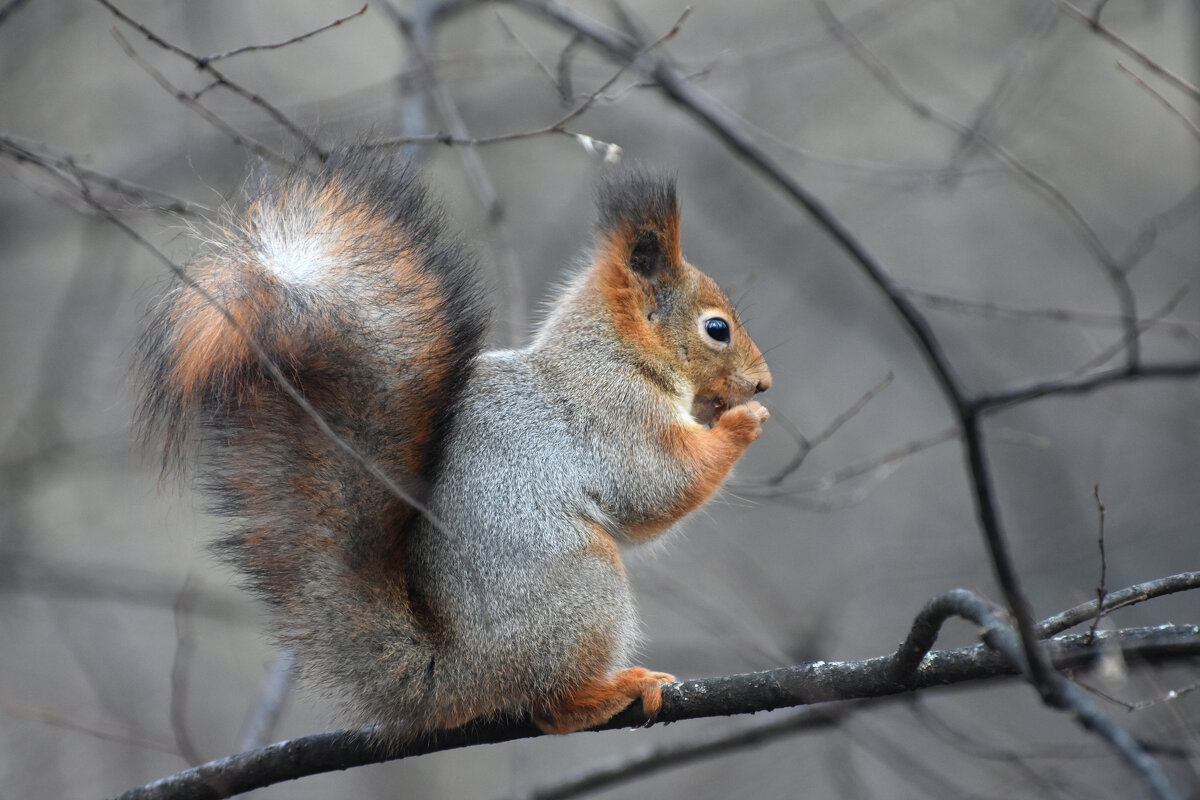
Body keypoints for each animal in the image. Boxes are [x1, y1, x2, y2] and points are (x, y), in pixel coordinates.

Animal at [136, 148, 772, 738]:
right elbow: (657, 486)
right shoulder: (615, 416)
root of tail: (455, 675)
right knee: (551, 707)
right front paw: (743, 422)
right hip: (583, 587)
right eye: (717, 328)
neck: (618, 352)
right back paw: (614, 690)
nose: (763, 383)